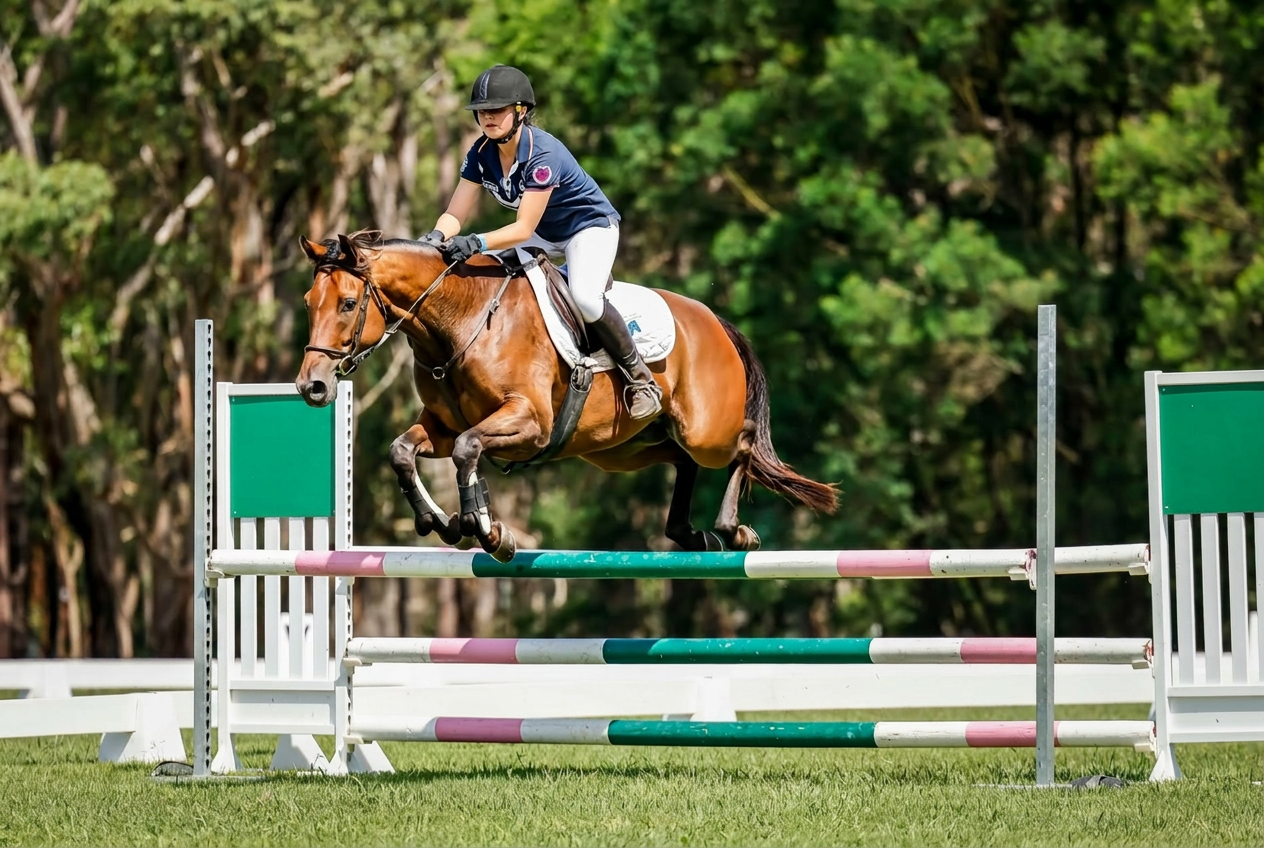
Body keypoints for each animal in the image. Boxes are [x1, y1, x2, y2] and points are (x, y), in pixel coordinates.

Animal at [295, 230, 837, 562]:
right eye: (308, 302)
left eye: (348, 304)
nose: (311, 386)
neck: (463, 321)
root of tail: (713, 320)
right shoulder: (442, 426)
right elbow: (403, 452)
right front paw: (443, 522)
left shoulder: (528, 423)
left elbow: (469, 450)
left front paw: (486, 530)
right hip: (621, 450)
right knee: (682, 461)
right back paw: (690, 533)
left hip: (705, 430)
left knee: (742, 441)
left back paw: (732, 529)